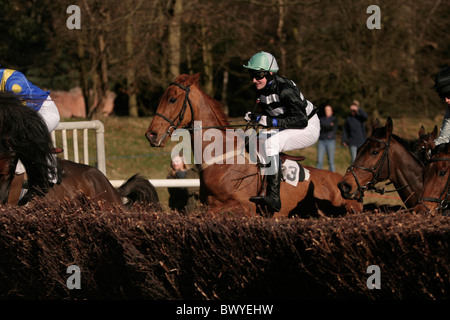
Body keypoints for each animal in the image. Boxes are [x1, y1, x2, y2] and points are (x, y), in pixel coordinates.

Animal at [145, 72, 362, 218]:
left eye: (173, 99)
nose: (151, 134)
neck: (222, 160)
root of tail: (347, 183)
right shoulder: (208, 204)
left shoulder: (243, 207)